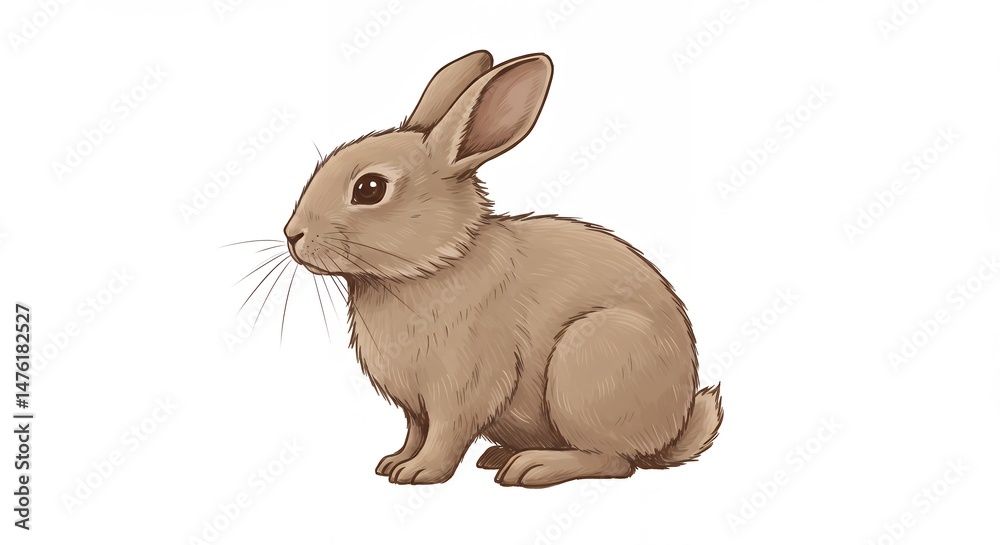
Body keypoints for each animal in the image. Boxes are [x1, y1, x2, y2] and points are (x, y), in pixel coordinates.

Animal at [283, 50, 722, 488]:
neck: (437, 264)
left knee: (615, 461)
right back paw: (499, 455)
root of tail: (672, 431)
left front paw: (419, 472)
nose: (292, 234)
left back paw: (532, 467)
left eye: (370, 189)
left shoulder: (463, 388)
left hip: (590, 363)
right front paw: (393, 462)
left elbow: (446, 434)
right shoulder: (415, 406)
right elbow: (416, 431)